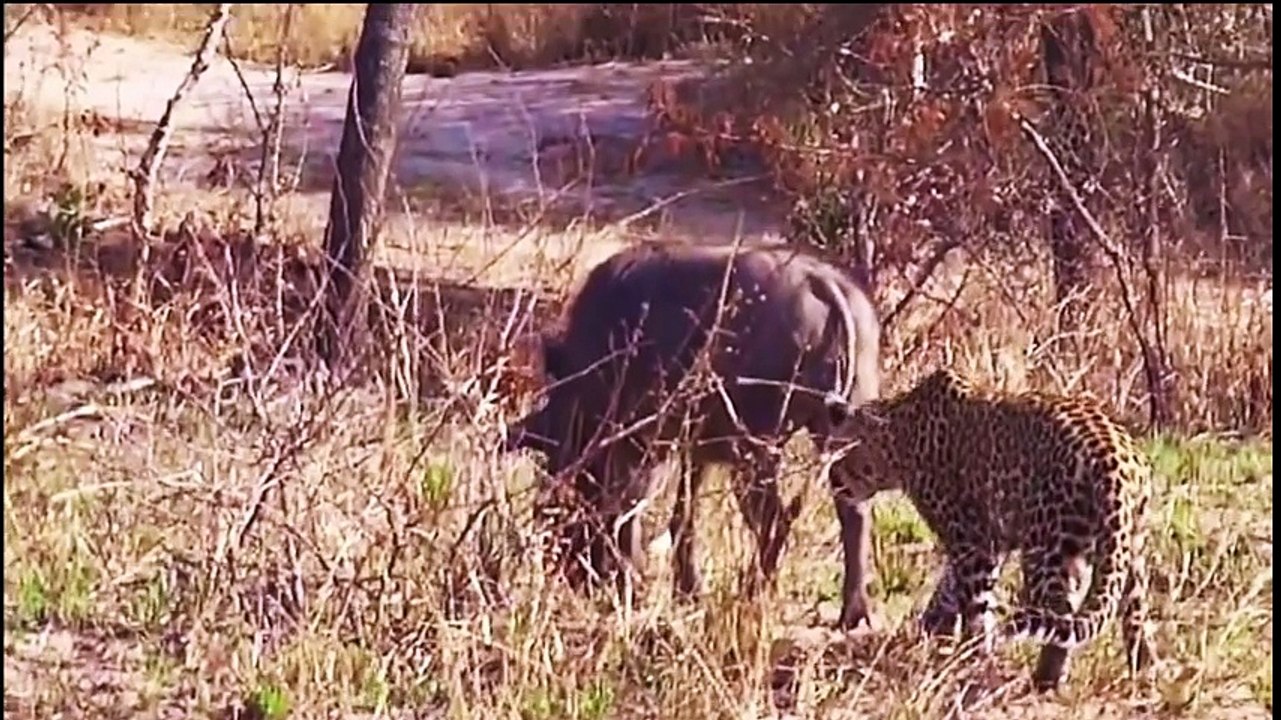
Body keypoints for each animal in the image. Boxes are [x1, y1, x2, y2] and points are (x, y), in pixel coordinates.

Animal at [820, 367, 1156, 690]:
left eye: (837, 451)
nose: (831, 478)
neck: (900, 437)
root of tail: (1114, 458)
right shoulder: (992, 539)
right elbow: (951, 584)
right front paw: (935, 625)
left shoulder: (971, 540)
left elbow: (974, 601)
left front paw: (974, 652)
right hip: (1128, 545)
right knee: (1134, 610)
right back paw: (1145, 670)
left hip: (1048, 550)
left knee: (1060, 611)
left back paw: (1045, 680)